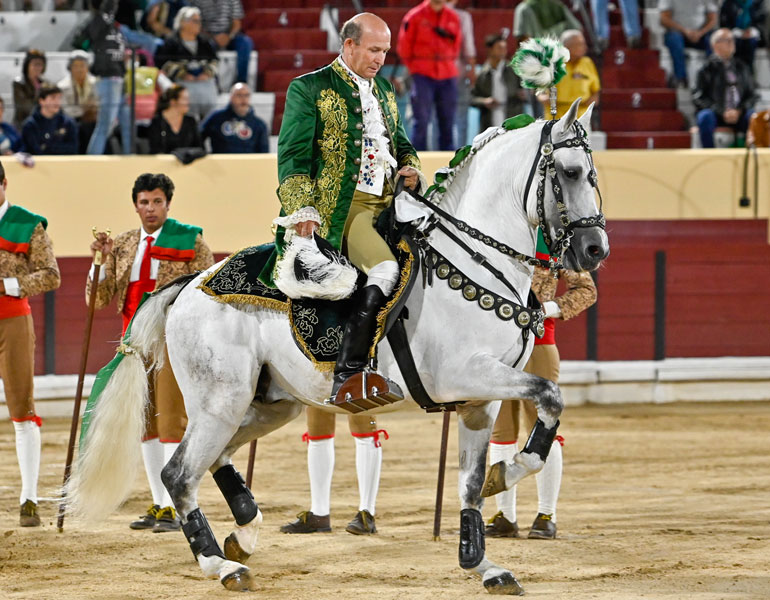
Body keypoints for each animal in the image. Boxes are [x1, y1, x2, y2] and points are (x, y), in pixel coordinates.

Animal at [66, 98, 609, 595]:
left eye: (593, 173)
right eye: (569, 171)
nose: (595, 250)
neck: (474, 262)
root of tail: (190, 285)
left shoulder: (480, 400)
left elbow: (473, 481)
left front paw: (484, 558)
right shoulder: (463, 374)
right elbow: (551, 396)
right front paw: (504, 480)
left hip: (267, 404)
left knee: (215, 458)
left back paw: (244, 533)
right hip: (222, 400)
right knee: (179, 473)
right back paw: (222, 564)